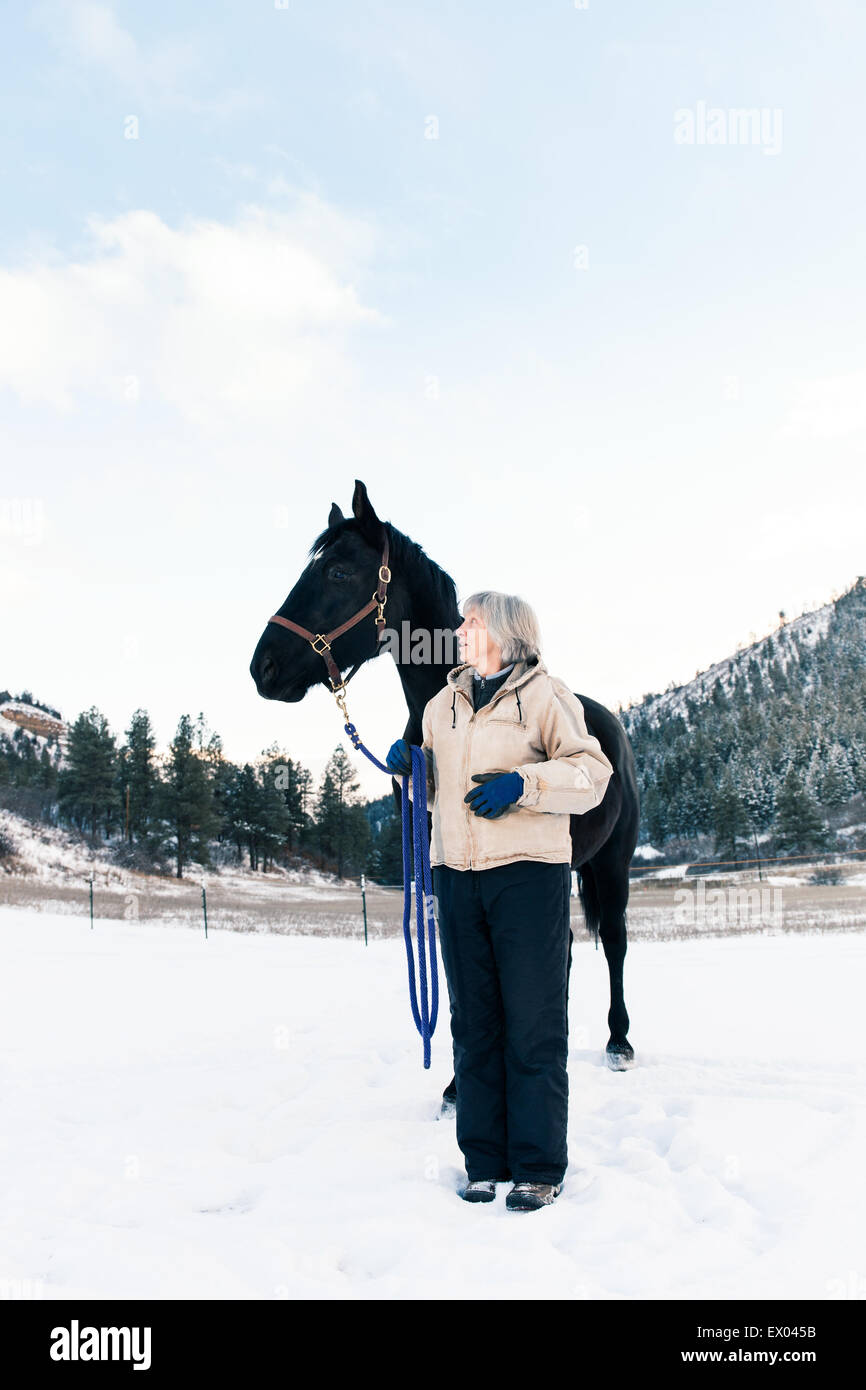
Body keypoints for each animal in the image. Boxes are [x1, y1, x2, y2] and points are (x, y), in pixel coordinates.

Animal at [247, 483, 639, 1089]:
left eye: (338, 572)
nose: (262, 667)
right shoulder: (439, 864)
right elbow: (457, 975)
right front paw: (458, 1084)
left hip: (611, 862)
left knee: (614, 943)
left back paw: (619, 1041)